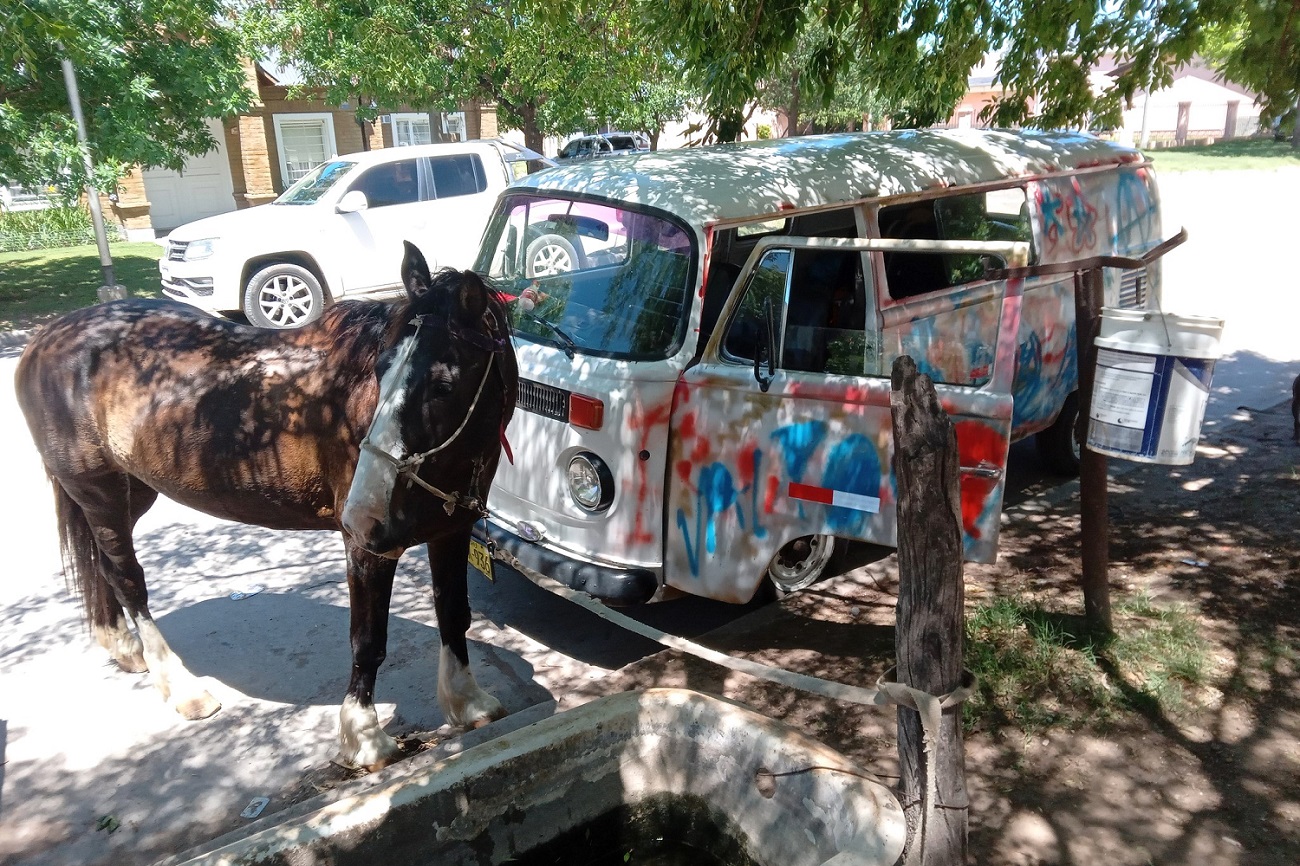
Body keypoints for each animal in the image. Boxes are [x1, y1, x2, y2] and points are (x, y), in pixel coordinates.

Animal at [15, 239, 514, 764]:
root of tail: (46, 339)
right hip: (101, 494)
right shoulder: (367, 549)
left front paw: (467, 702)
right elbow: (368, 641)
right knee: (127, 580)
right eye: (380, 370)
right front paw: (364, 737)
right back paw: (181, 688)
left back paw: (122, 645)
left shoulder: (450, 530)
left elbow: (453, 614)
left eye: (444, 386)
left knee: (103, 568)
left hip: (133, 493)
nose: (362, 513)